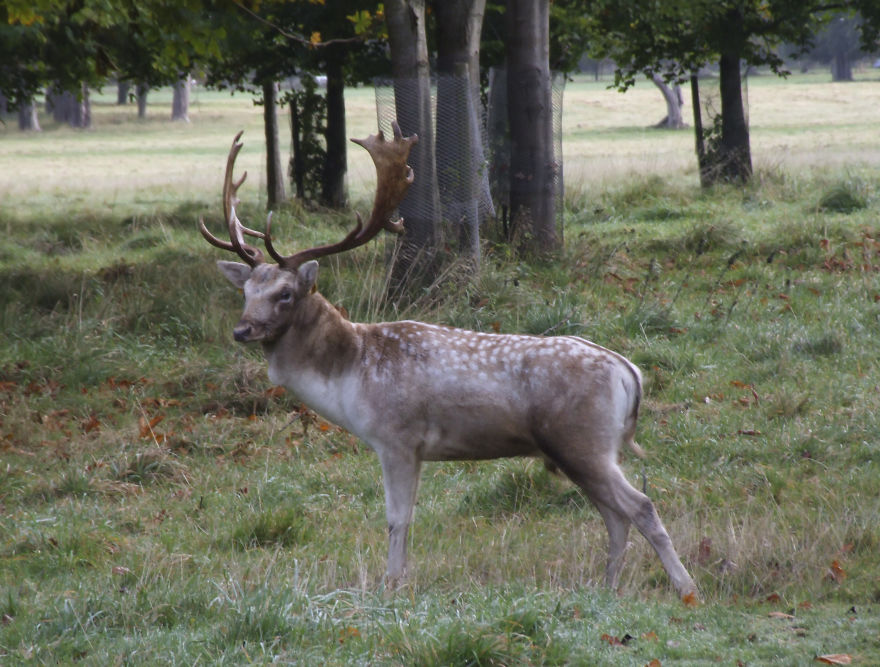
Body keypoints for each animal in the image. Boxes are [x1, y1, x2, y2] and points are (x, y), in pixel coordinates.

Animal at [199, 122, 698, 600]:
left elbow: (397, 518)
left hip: (583, 440)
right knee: (615, 516)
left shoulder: (397, 438)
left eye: (285, 294)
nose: (242, 330)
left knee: (640, 506)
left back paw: (686, 589)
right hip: (585, 449)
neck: (350, 374)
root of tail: (629, 372)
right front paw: (398, 580)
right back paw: (608, 587)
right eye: (246, 292)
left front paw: (391, 586)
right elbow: (405, 517)